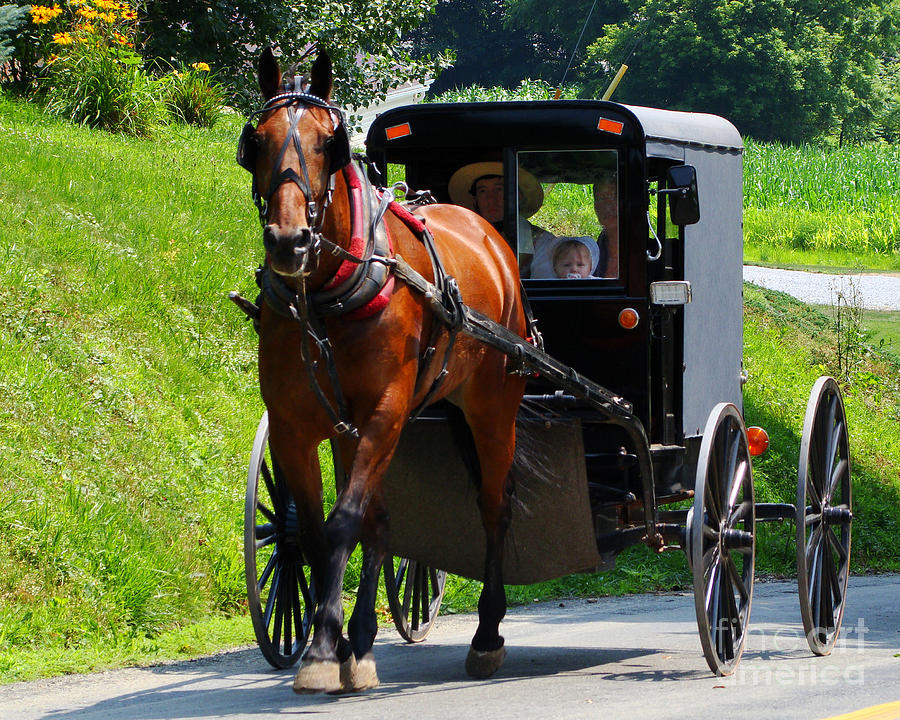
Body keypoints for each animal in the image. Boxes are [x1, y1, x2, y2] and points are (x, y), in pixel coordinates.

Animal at [239, 47, 532, 696]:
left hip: (491, 405)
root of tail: (489, 235)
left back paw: (487, 633)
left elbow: (344, 521)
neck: (327, 298)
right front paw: (340, 643)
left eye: (328, 142)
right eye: (256, 140)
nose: (289, 241)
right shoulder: (296, 427)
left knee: (494, 506)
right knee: (381, 522)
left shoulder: (385, 411)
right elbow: (319, 534)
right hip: (354, 430)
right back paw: (366, 638)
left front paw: (325, 647)